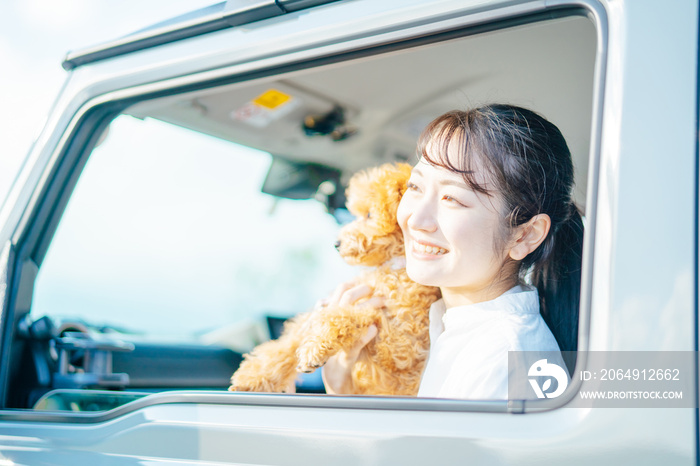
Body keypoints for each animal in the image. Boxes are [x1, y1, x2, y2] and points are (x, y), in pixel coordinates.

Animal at [228, 162, 438, 396]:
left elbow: (344, 316)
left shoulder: (399, 343)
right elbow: (290, 341)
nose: (336, 244)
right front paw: (253, 377)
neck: (395, 267)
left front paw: (314, 349)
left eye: (369, 214)